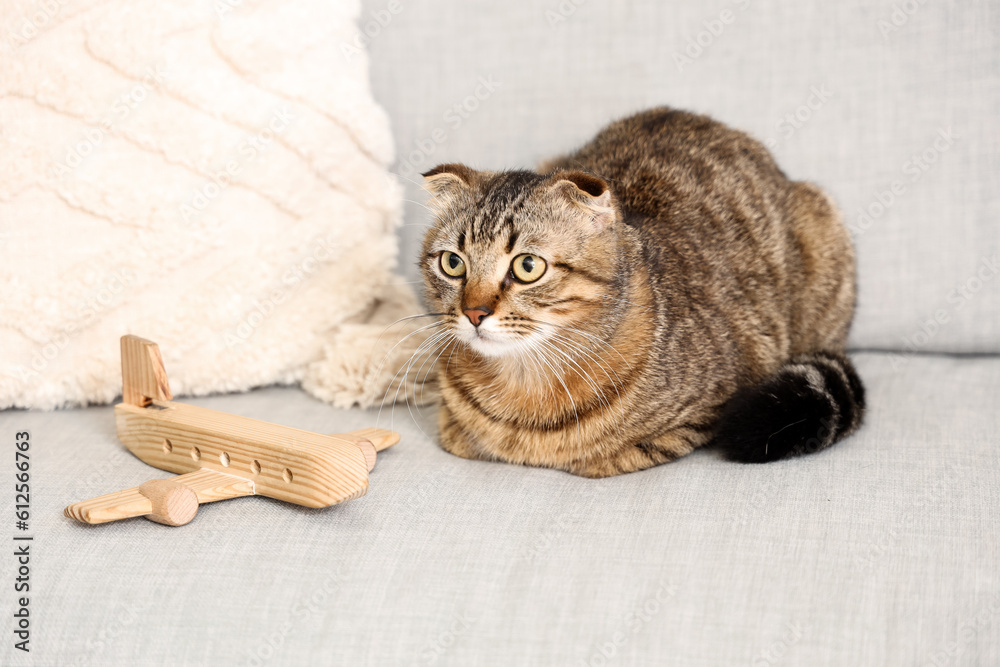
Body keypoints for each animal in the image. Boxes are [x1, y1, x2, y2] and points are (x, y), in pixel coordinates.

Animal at [418, 107, 864, 478]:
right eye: (453, 263)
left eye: (528, 266)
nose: (474, 312)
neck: (522, 385)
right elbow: (457, 433)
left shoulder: (711, 407)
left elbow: (614, 456)